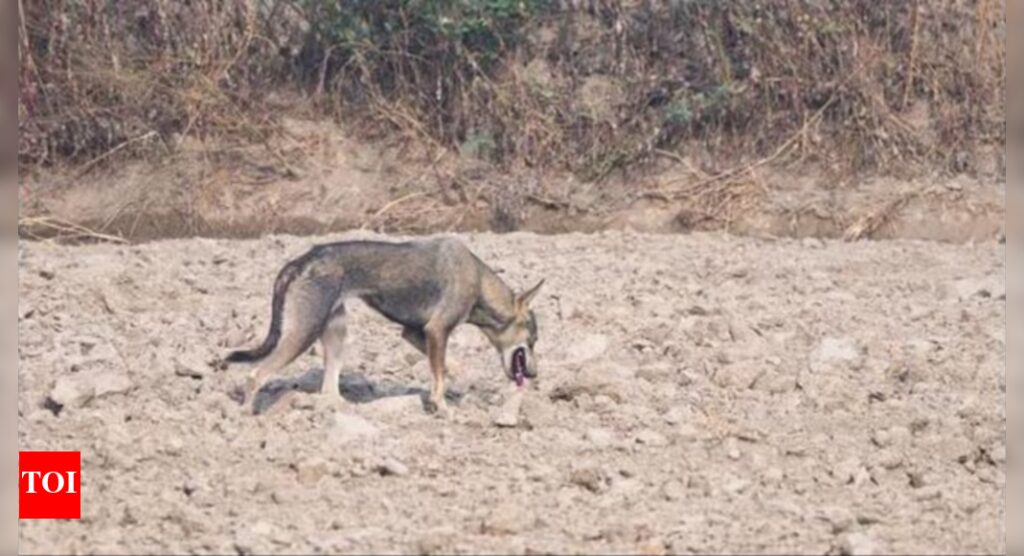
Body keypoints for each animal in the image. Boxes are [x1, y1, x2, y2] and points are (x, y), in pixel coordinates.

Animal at [224, 237, 543, 415]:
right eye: (533, 340)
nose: (534, 374)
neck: (478, 280)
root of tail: (299, 262)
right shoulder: (437, 331)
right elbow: (439, 375)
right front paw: (442, 408)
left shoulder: (416, 334)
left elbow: (446, 367)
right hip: (303, 332)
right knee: (255, 374)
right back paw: (245, 413)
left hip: (336, 331)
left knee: (329, 389)